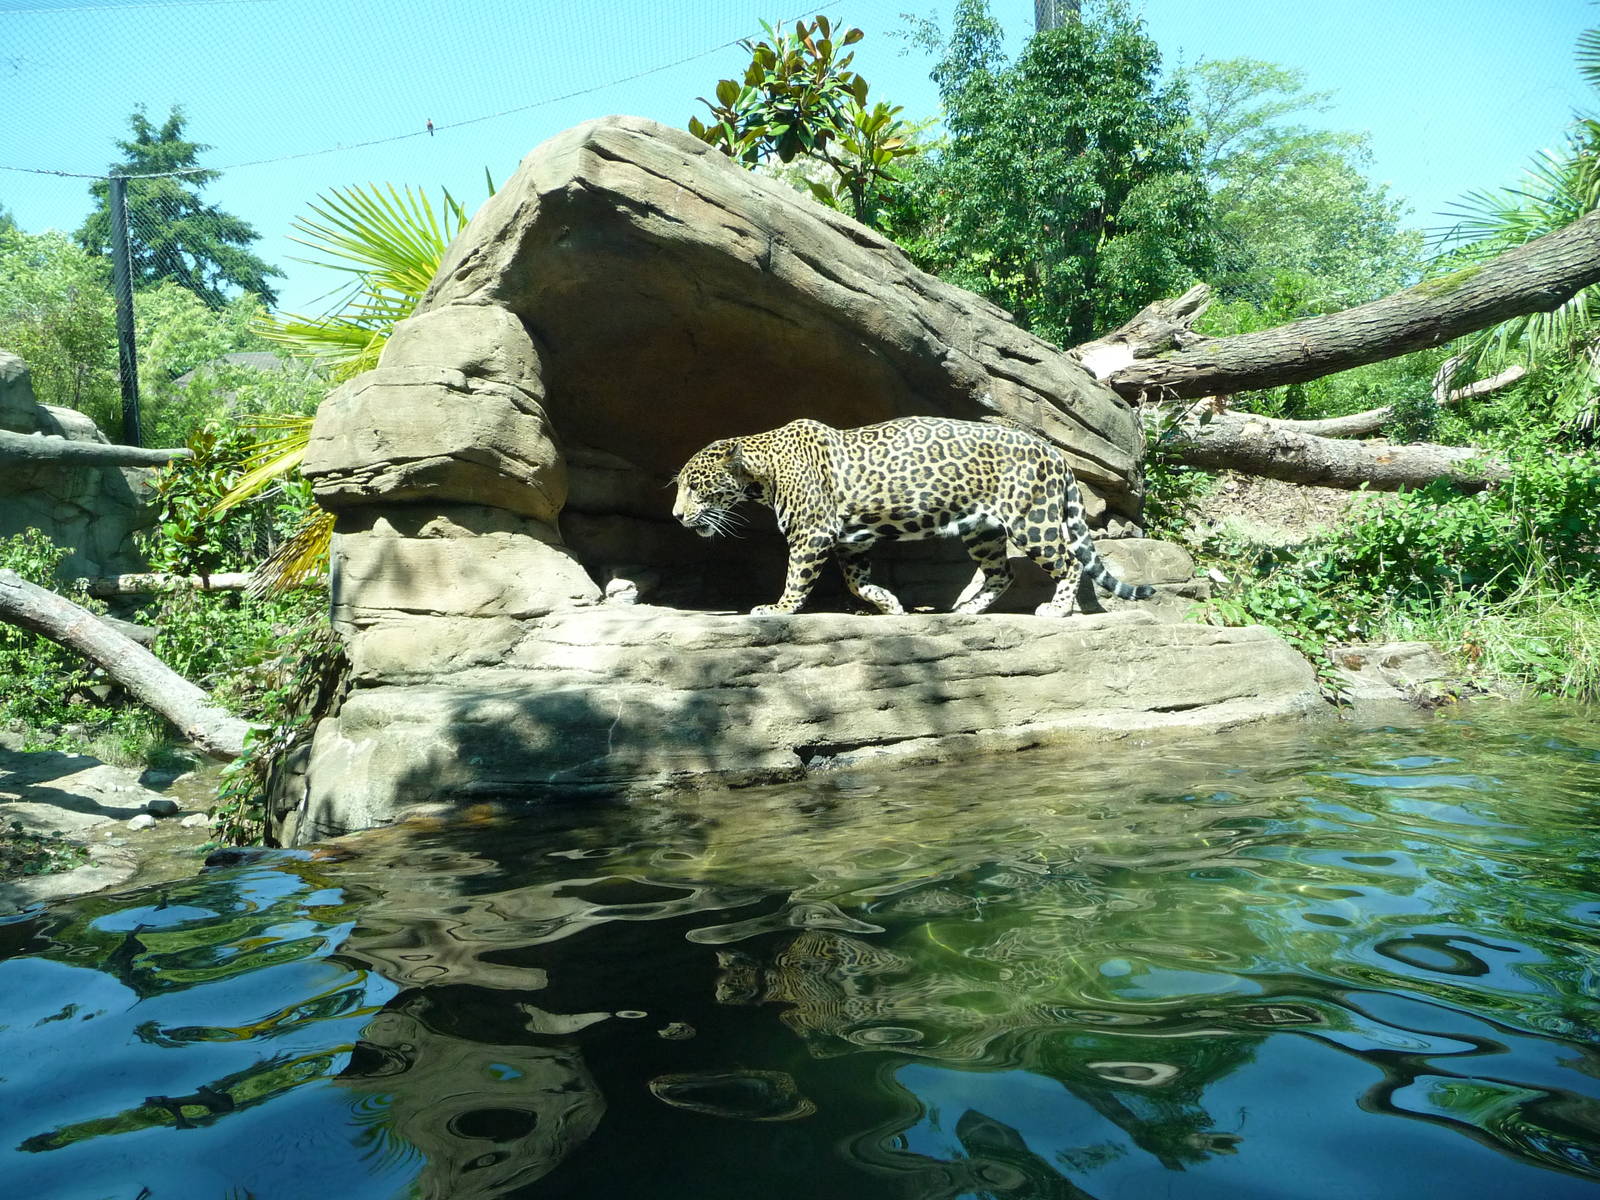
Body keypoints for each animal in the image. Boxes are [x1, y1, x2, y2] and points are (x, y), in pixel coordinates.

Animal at [670, 415, 1155, 617]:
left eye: (694, 486)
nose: (676, 516)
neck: (764, 472)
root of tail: (1053, 452)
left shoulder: (813, 533)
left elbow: (796, 576)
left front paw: (778, 608)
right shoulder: (852, 539)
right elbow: (856, 581)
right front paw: (890, 604)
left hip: (1031, 518)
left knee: (1069, 562)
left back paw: (1057, 610)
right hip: (983, 530)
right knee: (1001, 573)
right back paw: (966, 609)